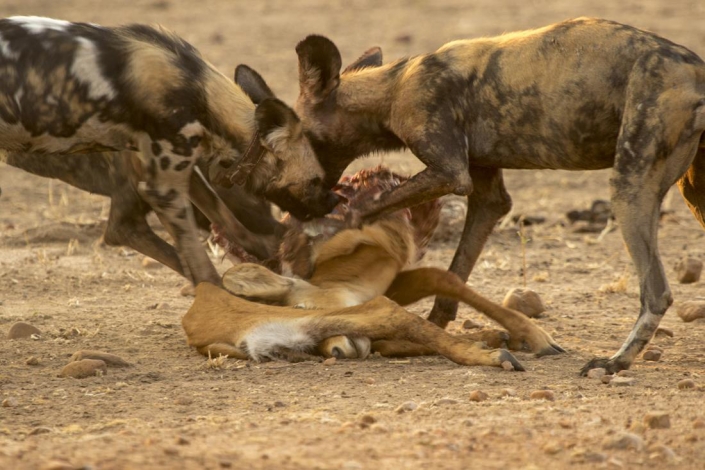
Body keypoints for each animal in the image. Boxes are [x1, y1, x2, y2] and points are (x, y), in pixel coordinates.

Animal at [0, 14, 338, 284]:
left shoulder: (178, 171)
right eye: (315, 181)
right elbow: (202, 270)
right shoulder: (162, 190)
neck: (200, 93)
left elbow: (226, 217)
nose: (336, 201)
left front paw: (270, 254)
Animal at [235, 15, 704, 374]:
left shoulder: (450, 173)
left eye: (275, 150)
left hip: (629, 187)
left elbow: (363, 211)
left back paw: (615, 362)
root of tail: (695, 70)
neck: (391, 91)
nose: (250, 184)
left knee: (656, 291)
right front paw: (433, 333)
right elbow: (454, 277)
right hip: (690, 195)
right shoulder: (487, 194)